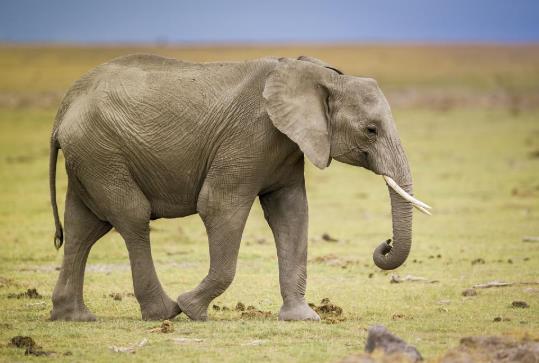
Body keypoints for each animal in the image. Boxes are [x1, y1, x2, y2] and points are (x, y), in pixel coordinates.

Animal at [49, 53, 430, 322]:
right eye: (371, 130)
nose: (385, 243)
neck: (322, 76)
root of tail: (64, 105)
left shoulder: (286, 146)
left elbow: (292, 215)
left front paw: (302, 318)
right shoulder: (249, 137)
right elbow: (219, 206)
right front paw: (192, 309)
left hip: (92, 156)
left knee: (83, 227)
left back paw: (75, 318)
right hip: (102, 152)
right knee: (132, 218)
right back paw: (165, 312)